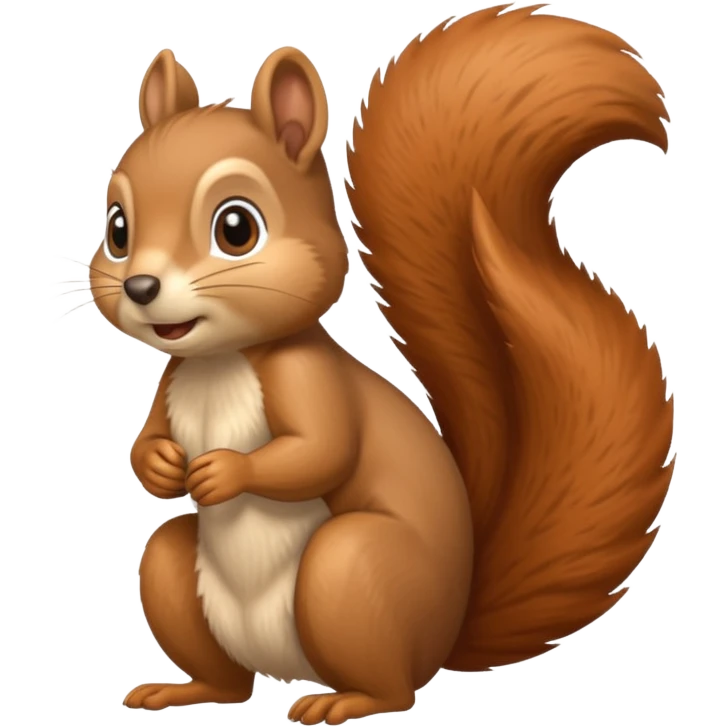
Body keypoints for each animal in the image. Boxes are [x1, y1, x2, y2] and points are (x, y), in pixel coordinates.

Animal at [100, 4, 674, 724]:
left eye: (236, 228)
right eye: (118, 228)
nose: (141, 287)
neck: (221, 361)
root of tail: (444, 633)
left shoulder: (308, 379)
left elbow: (321, 450)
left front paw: (226, 471)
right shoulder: (173, 381)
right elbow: (147, 438)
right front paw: (160, 464)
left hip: (349, 569)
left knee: (392, 686)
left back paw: (342, 702)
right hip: (180, 575)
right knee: (224, 669)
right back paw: (187, 689)